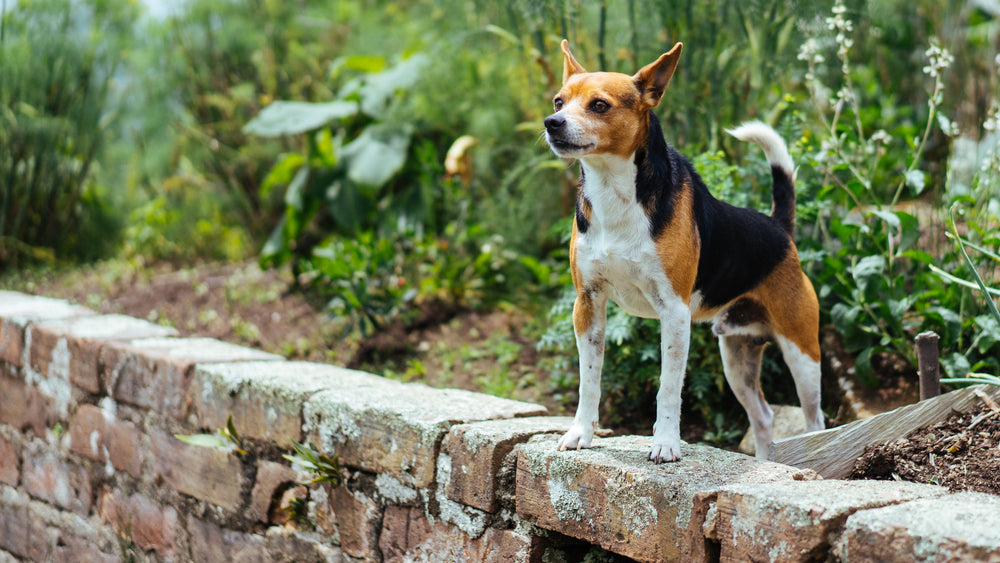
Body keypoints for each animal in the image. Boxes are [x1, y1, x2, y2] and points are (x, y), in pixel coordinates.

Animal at [544, 38, 824, 462]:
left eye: (599, 105)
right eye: (559, 101)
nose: (552, 122)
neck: (615, 193)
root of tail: (780, 228)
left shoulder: (674, 313)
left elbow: (668, 388)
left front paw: (665, 444)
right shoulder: (588, 304)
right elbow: (588, 380)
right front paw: (581, 433)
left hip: (802, 353)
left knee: (815, 420)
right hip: (737, 357)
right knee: (763, 417)